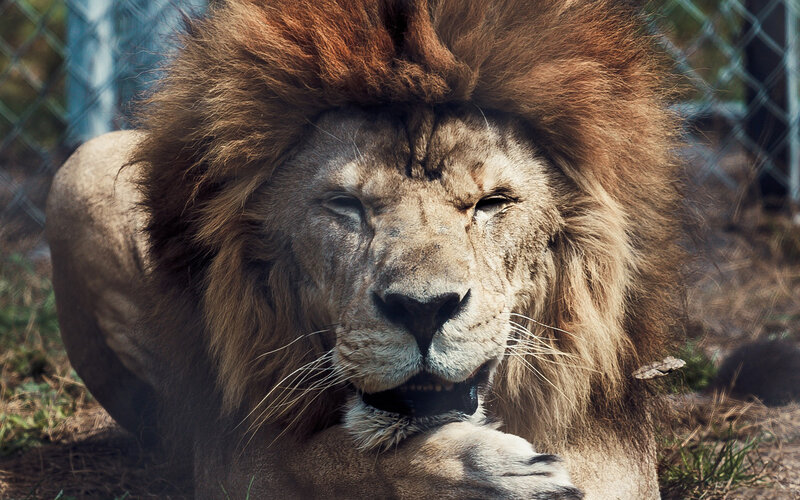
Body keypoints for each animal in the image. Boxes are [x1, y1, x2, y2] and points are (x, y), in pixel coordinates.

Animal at [46, 0, 682, 498]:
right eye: (345, 205)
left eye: (492, 202)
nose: (423, 310)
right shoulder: (234, 453)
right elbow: (331, 460)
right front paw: (488, 472)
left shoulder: (615, 451)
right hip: (80, 170)